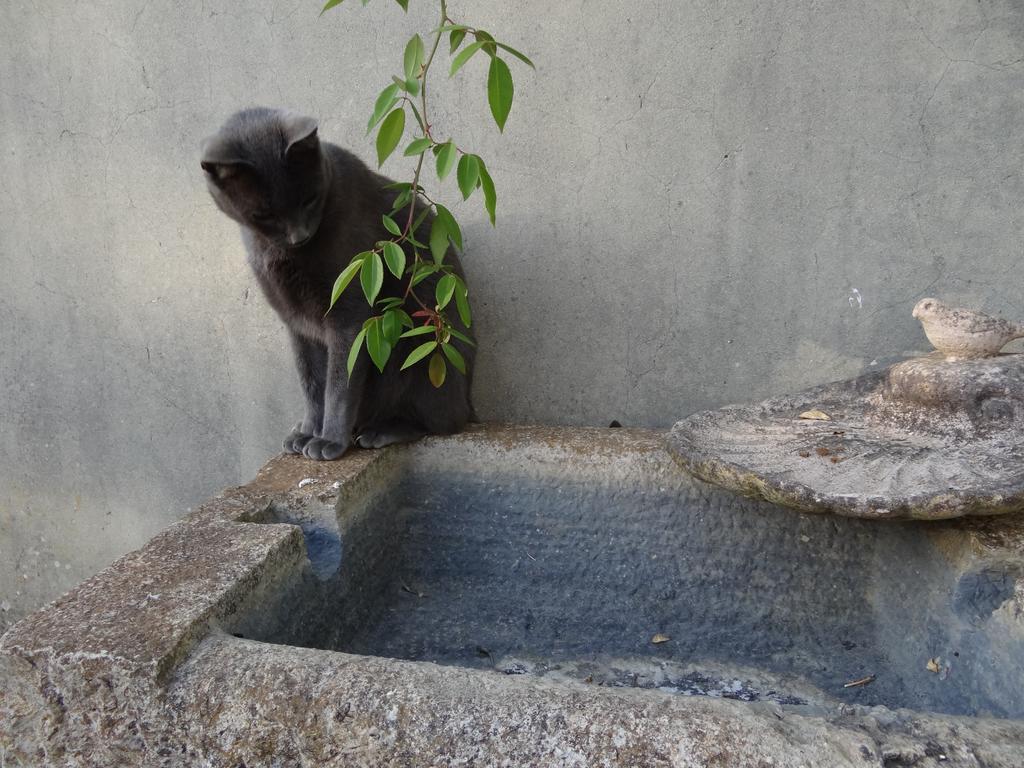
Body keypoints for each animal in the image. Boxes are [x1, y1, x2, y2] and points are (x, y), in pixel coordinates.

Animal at [201, 105, 477, 460]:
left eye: (309, 199)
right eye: (263, 215)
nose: (300, 235)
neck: (281, 254)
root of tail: (469, 400)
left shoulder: (350, 316)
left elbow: (338, 384)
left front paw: (328, 440)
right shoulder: (298, 326)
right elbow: (311, 382)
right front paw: (308, 431)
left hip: (415, 345)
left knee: (441, 421)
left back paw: (381, 431)